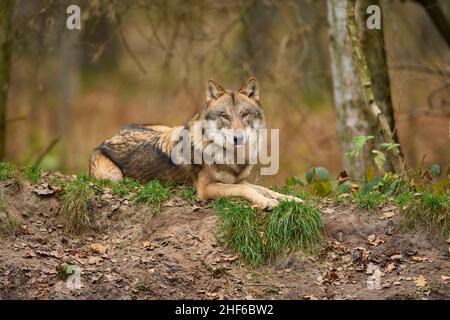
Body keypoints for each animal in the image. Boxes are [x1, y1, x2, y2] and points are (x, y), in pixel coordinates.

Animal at [89, 77, 302, 210]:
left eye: (244, 114)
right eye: (225, 116)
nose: (238, 138)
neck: (231, 156)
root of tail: (108, 139)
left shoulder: (239, 180)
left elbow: (266, 189)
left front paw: (292, 199)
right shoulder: (206, 189)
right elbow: (247, 190)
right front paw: (267, 203)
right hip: (114, 176)